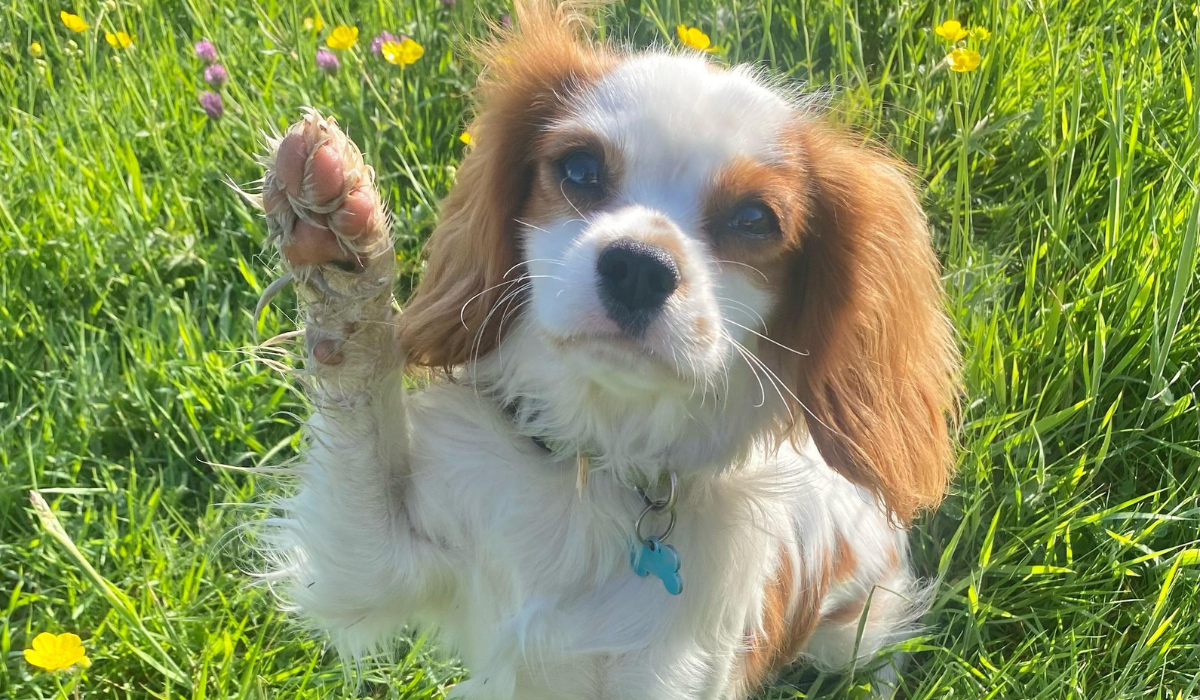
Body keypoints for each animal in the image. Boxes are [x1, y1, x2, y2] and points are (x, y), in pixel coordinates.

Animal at [250, 2, 955, 696]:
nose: (640, 267)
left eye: (756, 219)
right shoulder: (372, 562)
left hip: (858, 620)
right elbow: (360, 417)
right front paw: (336, 234)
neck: (599, 461)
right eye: (581, 169)